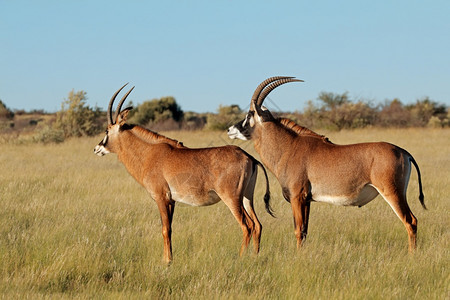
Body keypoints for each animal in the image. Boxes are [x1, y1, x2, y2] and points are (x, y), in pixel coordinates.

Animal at [93, 83, 272, 264]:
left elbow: (164, 229)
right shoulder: (171, 201)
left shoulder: (161, 198)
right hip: (247, 198)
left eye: (107, 130)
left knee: (247, 226)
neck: (149, 153)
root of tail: (248, 156)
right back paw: (254, 256)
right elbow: (170, 229)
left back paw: (240, 258)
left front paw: (166, 262)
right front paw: (169, 258)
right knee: (257, 225)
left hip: (232, 199)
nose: (97, 149)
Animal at [229, 76, 426, 252]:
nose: (230, 129)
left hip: (392, 193)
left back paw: (412, 255)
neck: (288, 147)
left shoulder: (297, 198)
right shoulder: (306, 200)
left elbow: (298, 231)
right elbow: (305, 231)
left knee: (410, 221)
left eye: (249, 114)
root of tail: (403, 151)